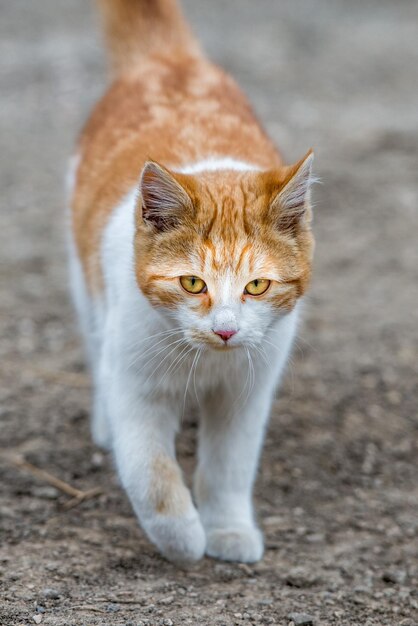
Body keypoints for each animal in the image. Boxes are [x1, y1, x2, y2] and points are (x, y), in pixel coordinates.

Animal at [68, 0, 316, 564]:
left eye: (257, 287)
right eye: (192, 283)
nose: (225, 330)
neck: (207, 363)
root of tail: (166, 59)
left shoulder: (247, 393)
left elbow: (228, 468)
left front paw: (227, 529)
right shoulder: (137, 387)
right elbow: (151, 474)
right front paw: (181, 538)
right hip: (85, 281)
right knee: (96, 345)